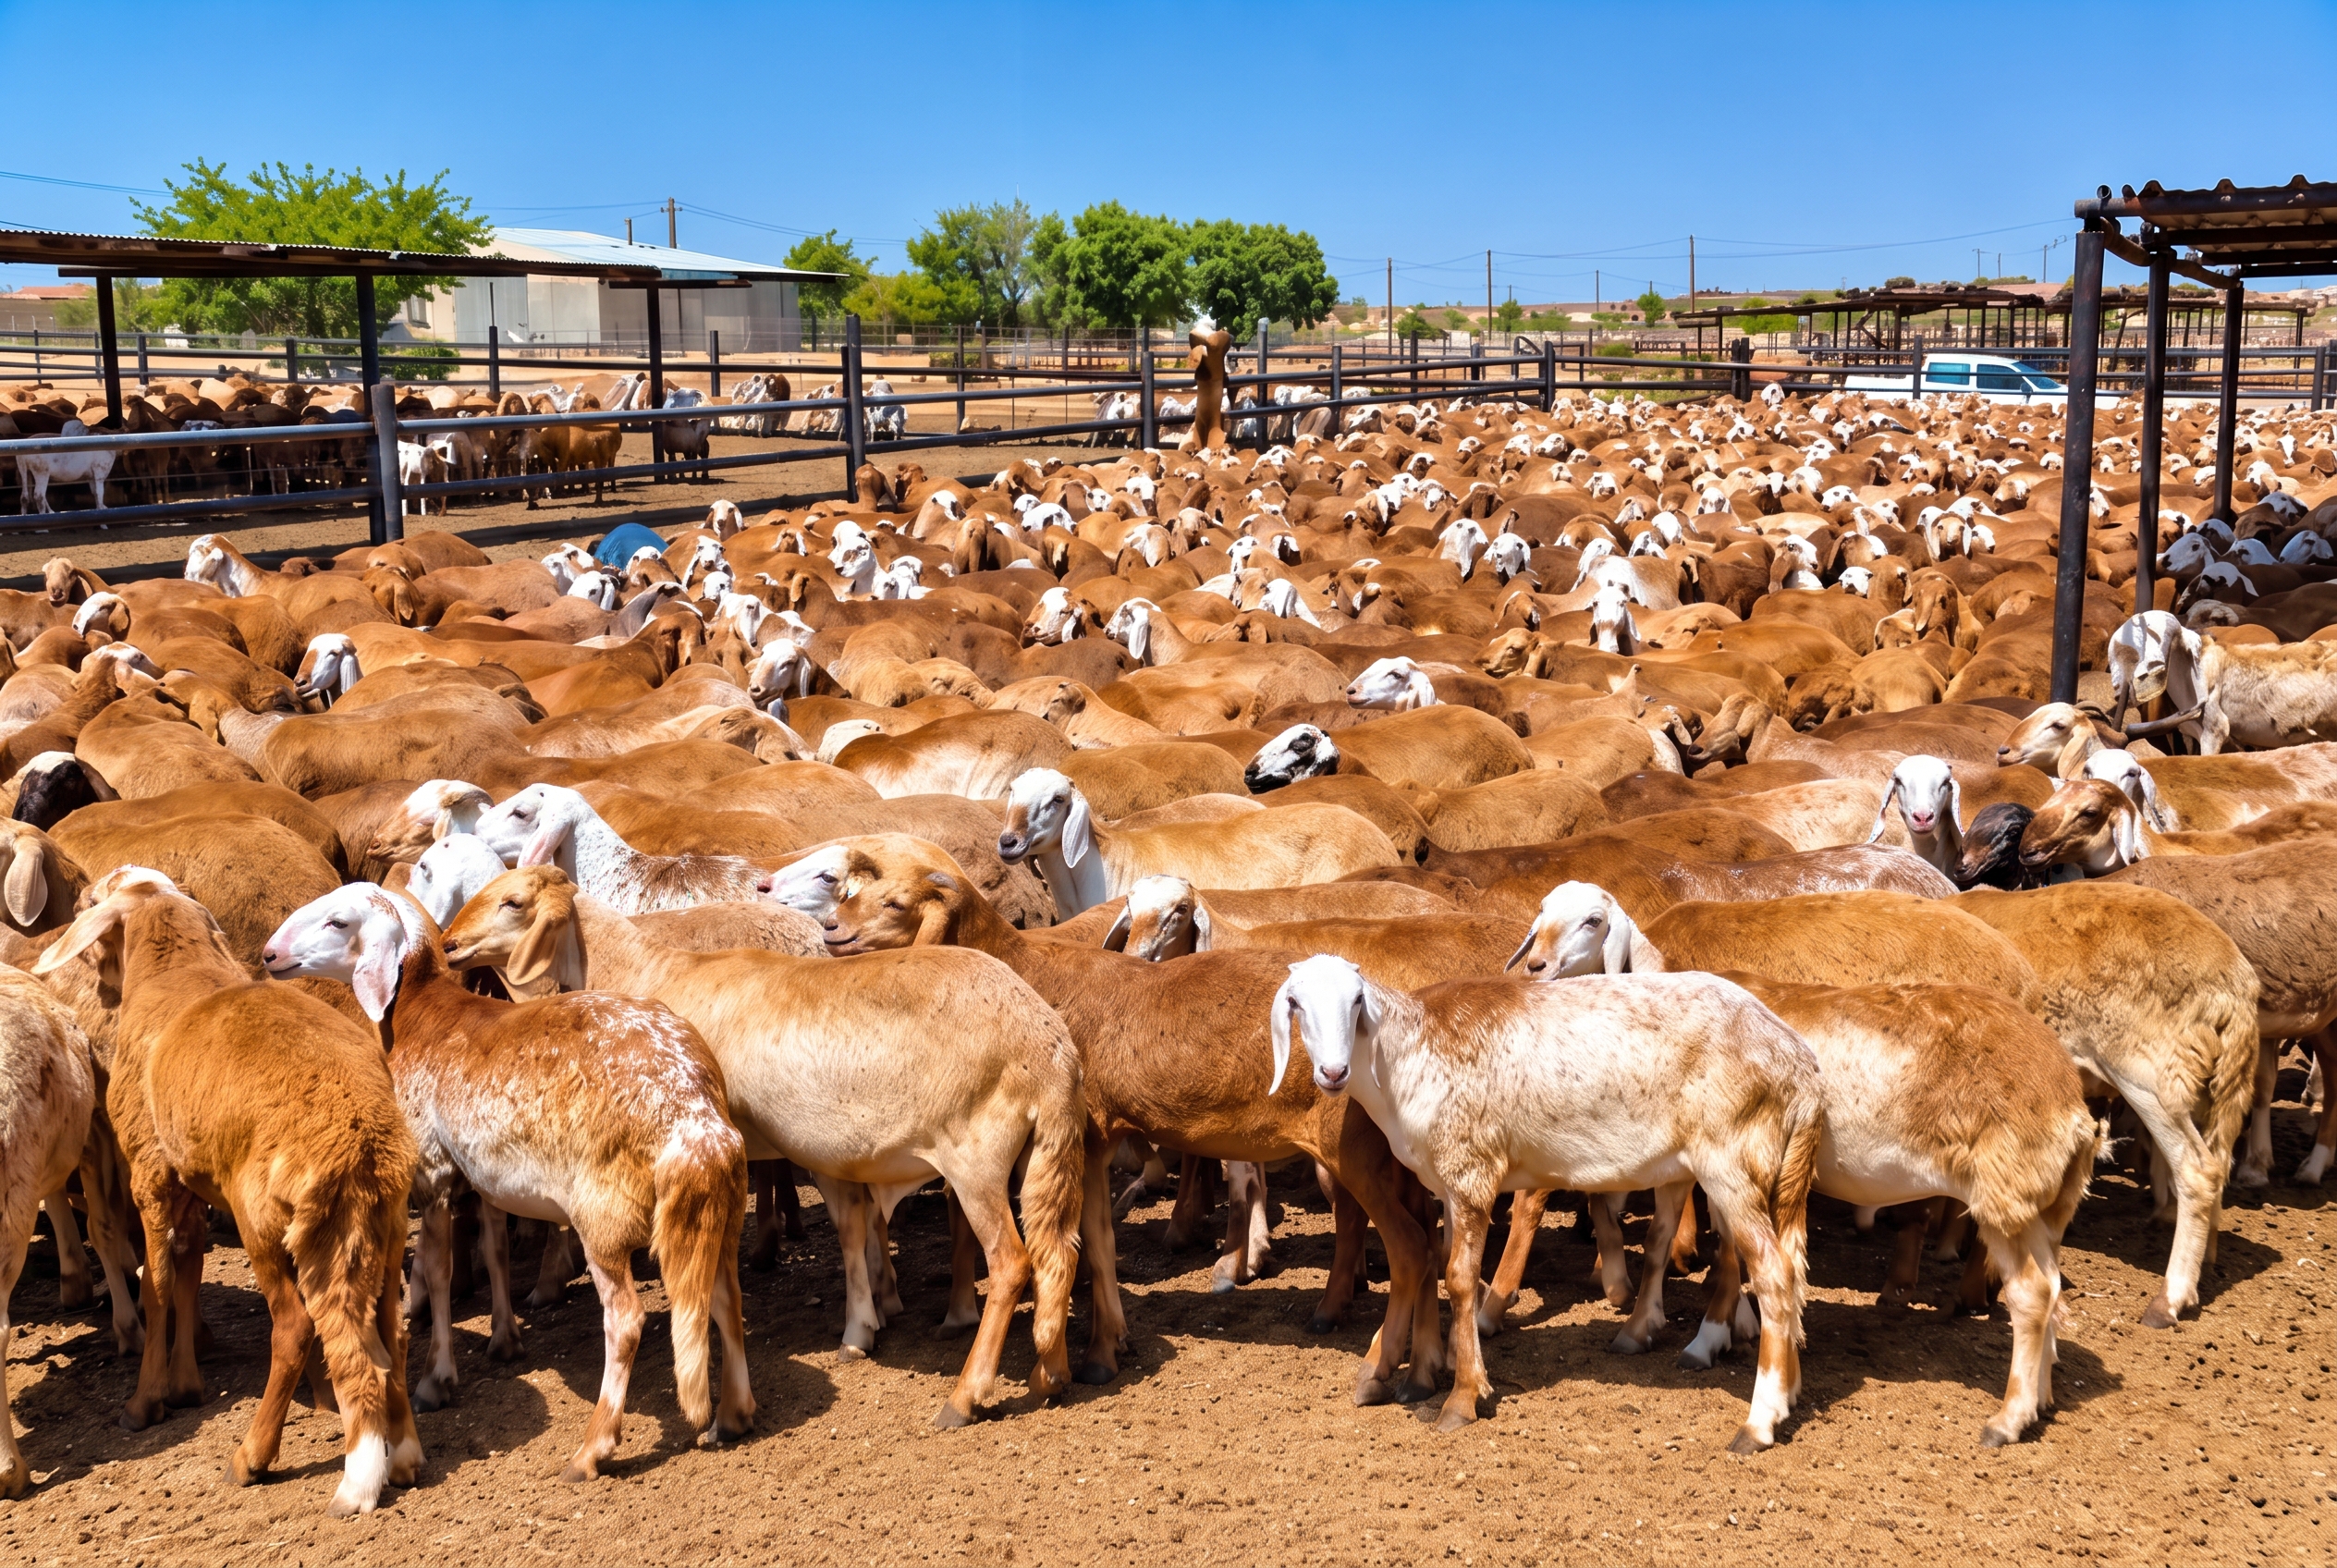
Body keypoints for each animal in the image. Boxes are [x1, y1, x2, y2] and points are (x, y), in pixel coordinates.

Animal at [33, 871, 421, 1518]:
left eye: (90, 902)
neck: (176, 971)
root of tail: (360, 1139)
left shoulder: (150, 1174)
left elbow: (157, 1287)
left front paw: (146, 1401)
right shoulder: (193, 1182)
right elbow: (188, 1269)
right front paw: (189, 1381)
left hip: (263, 1219)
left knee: (296, 1327)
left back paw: (275, 1462)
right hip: (380, 1228)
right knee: (388, 1328)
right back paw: (403, 1451)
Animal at [261, 882, 753, 1479]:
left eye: (337, 921)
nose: (268, 955)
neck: (419, 1012)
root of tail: (694, 1116)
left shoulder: (432, 1170)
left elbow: (439, 1270)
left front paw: (436, 1378)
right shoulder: (487, 1172)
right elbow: (493, 1248)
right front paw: (505, 1337)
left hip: (603, 1216)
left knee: (627, 1320)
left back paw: (592, 1449)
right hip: (716, 1210)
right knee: (725, 1297)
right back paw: (734, 1416)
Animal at [437, 865, 1084, 1426]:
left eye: (512, 902)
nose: (447, 944)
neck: (641, 973)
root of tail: (1049, 1046)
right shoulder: (829, 1152)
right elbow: (852, 1231)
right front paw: (861, 1329)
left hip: (975, 1159)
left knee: (1012, 1263)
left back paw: (966, 1396)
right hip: (1041, 1157)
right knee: (1058, 1251)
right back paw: (1049, 1376)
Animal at [1270, 954, 1821, 1449]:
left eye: (1356, 1000)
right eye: (1296, 1003)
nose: (1333, 1072)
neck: (1405, 1057)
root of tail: (1802, 1068)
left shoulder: (1470, 1170)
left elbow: (1460, 1280)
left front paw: (1462, 1398)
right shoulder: (1443, 1183)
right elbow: (1435, 1261)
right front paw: (1435, 1374)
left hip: (1733, 1159)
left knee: (1773, 1274)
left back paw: (1758, 1423)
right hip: (1757, 1170)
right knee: (1782, 1266)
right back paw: (1781, 1388)